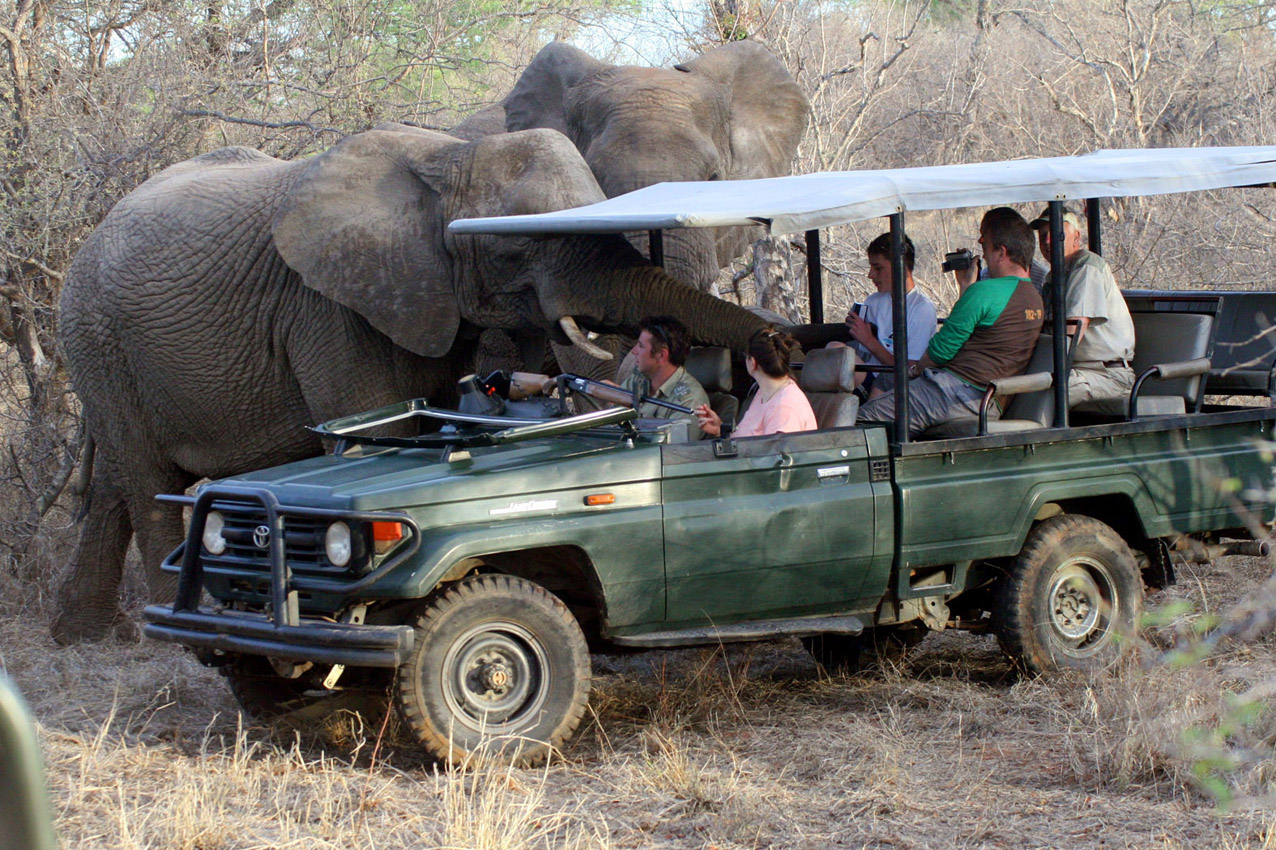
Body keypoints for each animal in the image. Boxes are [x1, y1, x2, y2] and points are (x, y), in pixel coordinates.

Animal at [52, 124, 765, 643]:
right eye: (515, 244)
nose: (776, 346)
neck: (449, 157)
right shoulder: (329, 304)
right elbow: (379, 417)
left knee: (117, 483)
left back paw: (86, 635)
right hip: (96, 337)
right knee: (145, 480)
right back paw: (156, 631)